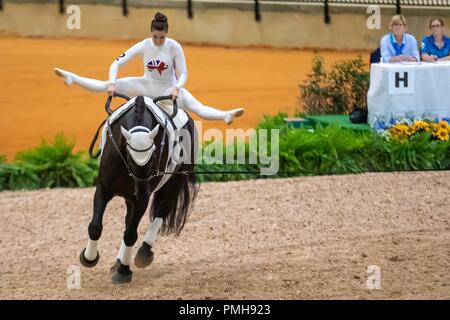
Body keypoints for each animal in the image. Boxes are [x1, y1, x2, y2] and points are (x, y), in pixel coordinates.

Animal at [79, 94, 199, 284]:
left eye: (155, 156)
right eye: (128, 155)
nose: (141, 192)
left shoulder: (141, 199)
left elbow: (131, 234)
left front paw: (124, 271)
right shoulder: (103, 189)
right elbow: (95, 226)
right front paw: (89, 258)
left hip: (176, 181)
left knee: (161, 211)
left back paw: (143, 253)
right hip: (131, 197)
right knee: (129, 220)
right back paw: (117, 262)